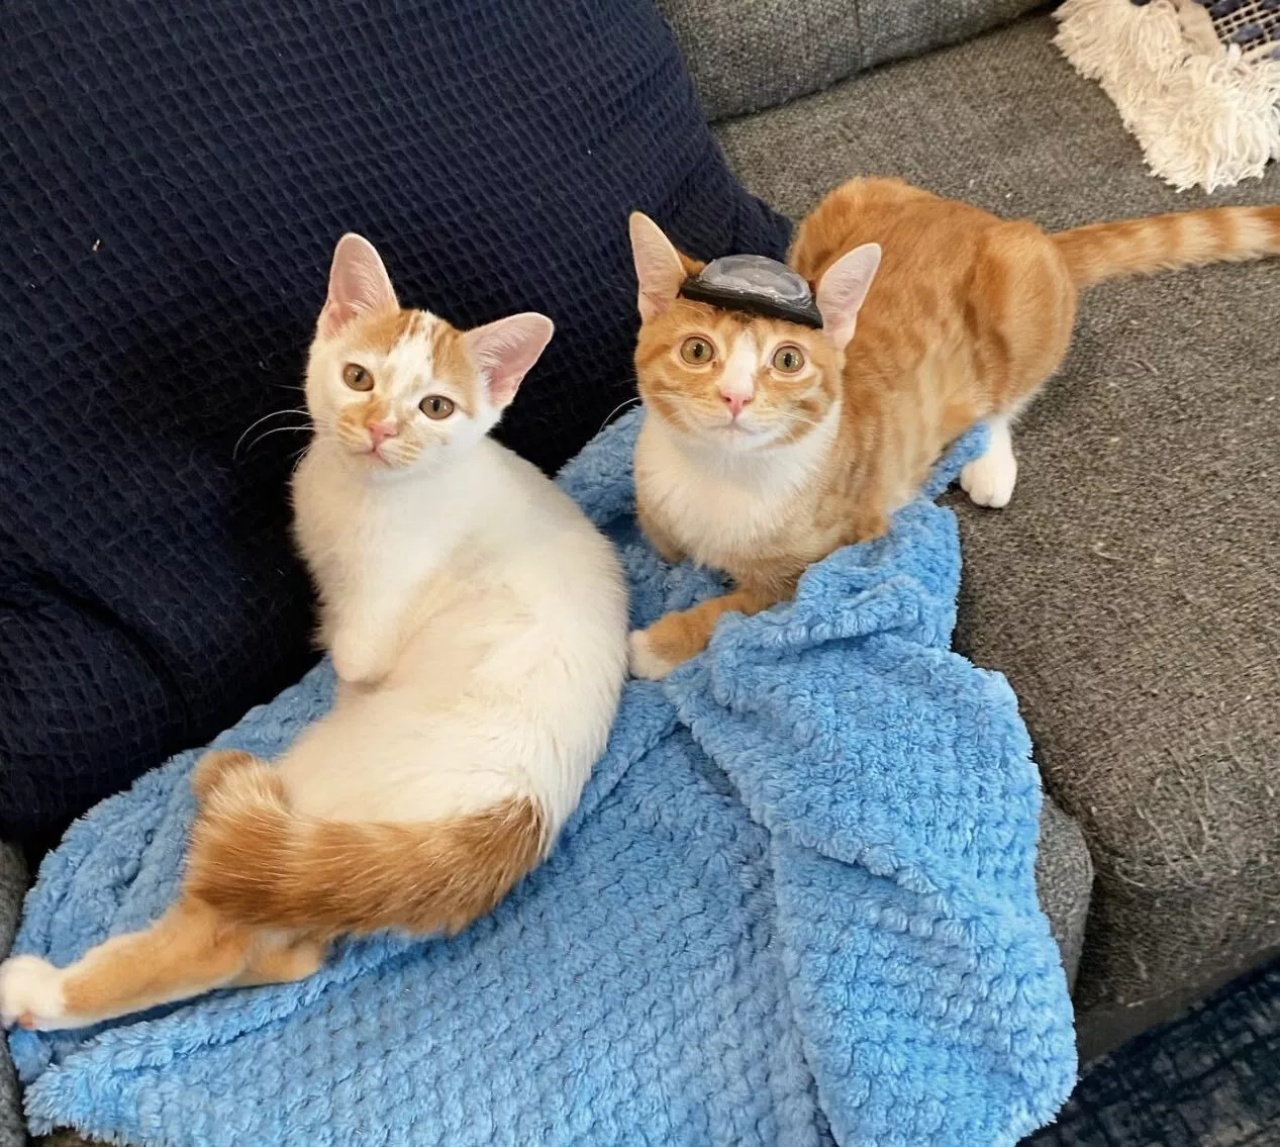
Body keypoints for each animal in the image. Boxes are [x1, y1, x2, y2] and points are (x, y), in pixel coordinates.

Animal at [0, 232, 629, 1029]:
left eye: (435, 406)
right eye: (358, 377)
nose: (381, 427)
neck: (362, 494)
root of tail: (517, 817)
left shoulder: (373, 618)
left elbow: (348, 648)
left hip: (316, 801)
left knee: (215, 935)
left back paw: (39, 989)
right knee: (292, 949)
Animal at [627, 176, 1280, 681]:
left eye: (787, 360)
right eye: (696, 350)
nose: (736, 396)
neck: (719, 475)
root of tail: (1002, 224)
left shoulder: (821, 564)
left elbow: (734, 612)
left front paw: (659, 644)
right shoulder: (656, 506)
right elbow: (658, 539)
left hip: (1021, 296)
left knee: (1005, 399)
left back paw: (988, 460)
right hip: (848, 199)